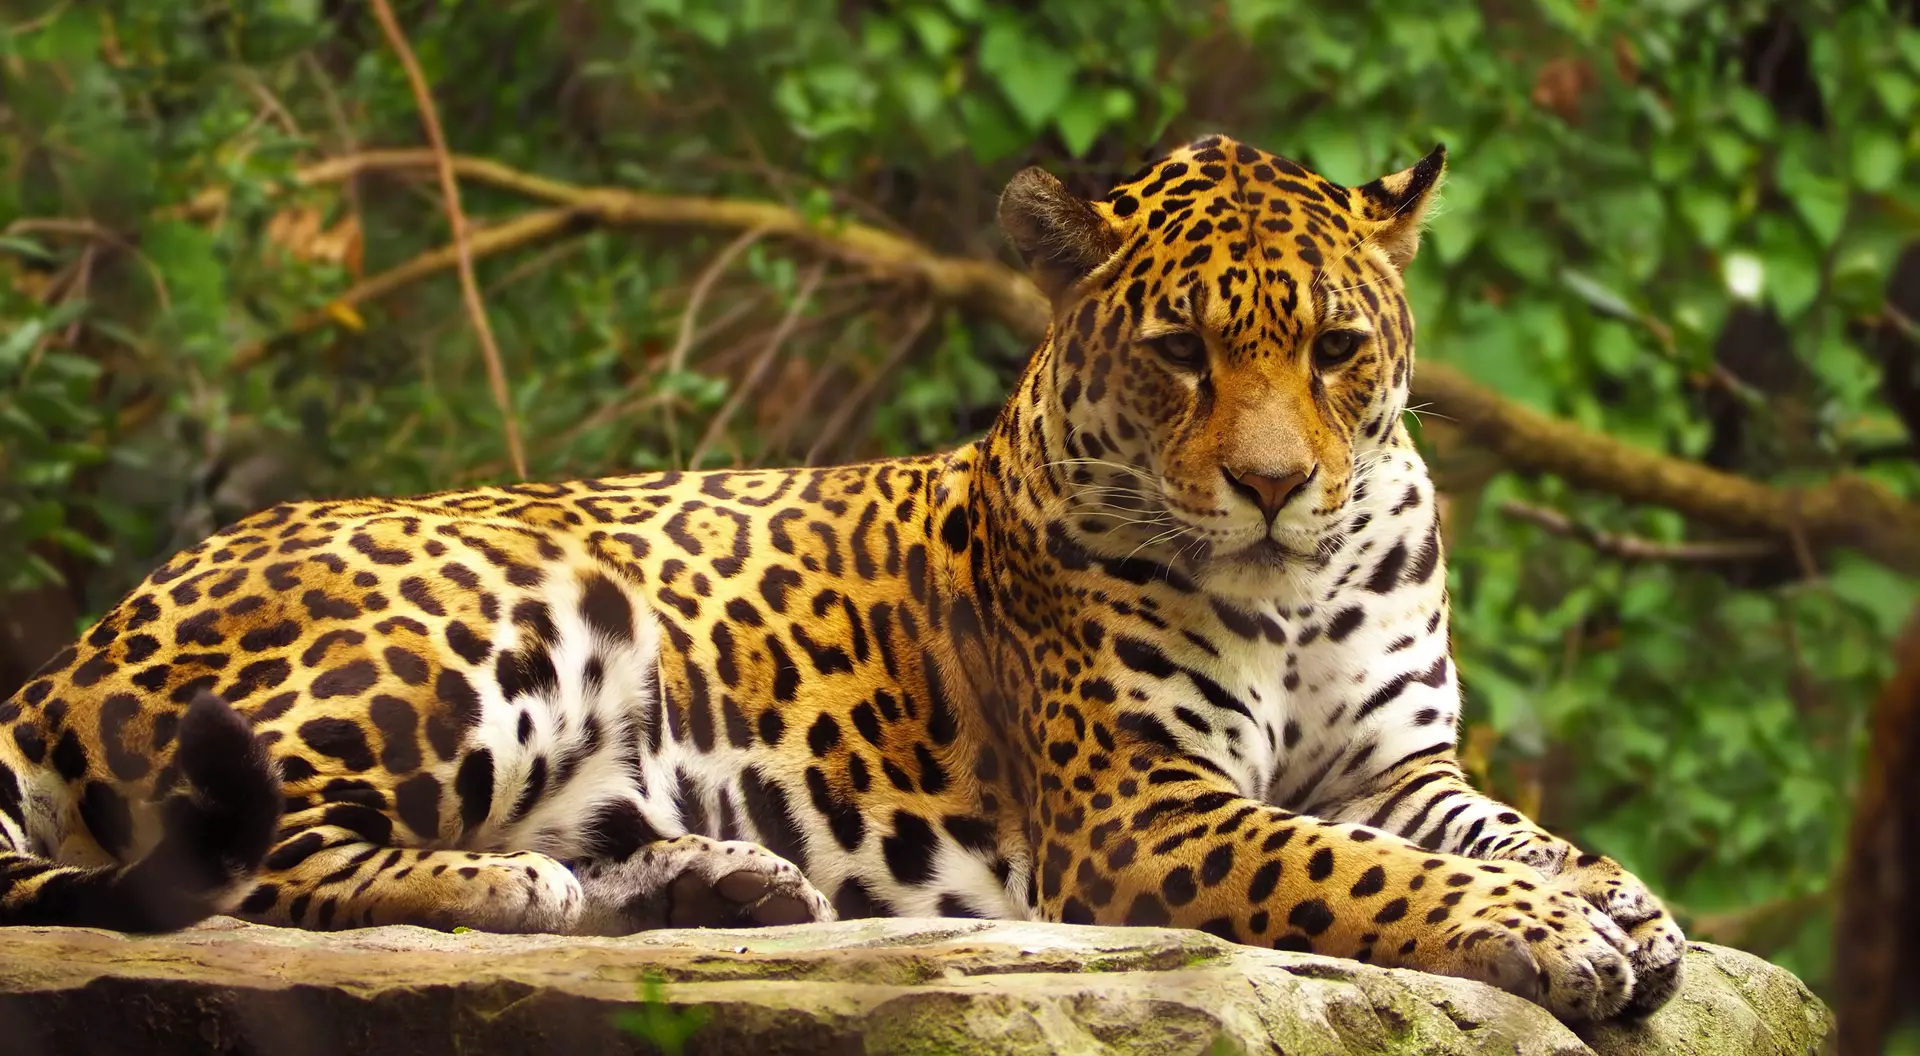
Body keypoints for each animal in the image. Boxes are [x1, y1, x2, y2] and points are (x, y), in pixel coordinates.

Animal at [0, 134, 1686, 1022]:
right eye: (1179, 352)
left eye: (1336, 349)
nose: (1273, 488)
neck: (1300, 585)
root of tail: (72, 652)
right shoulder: (1144, 811)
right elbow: (1360, 871)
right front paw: (1550, 934)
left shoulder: (1401, 765)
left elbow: (1500, 829)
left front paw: (1628, 903)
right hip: (499, 615)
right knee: (249, 859)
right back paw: (509, 886)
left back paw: (715, 882)